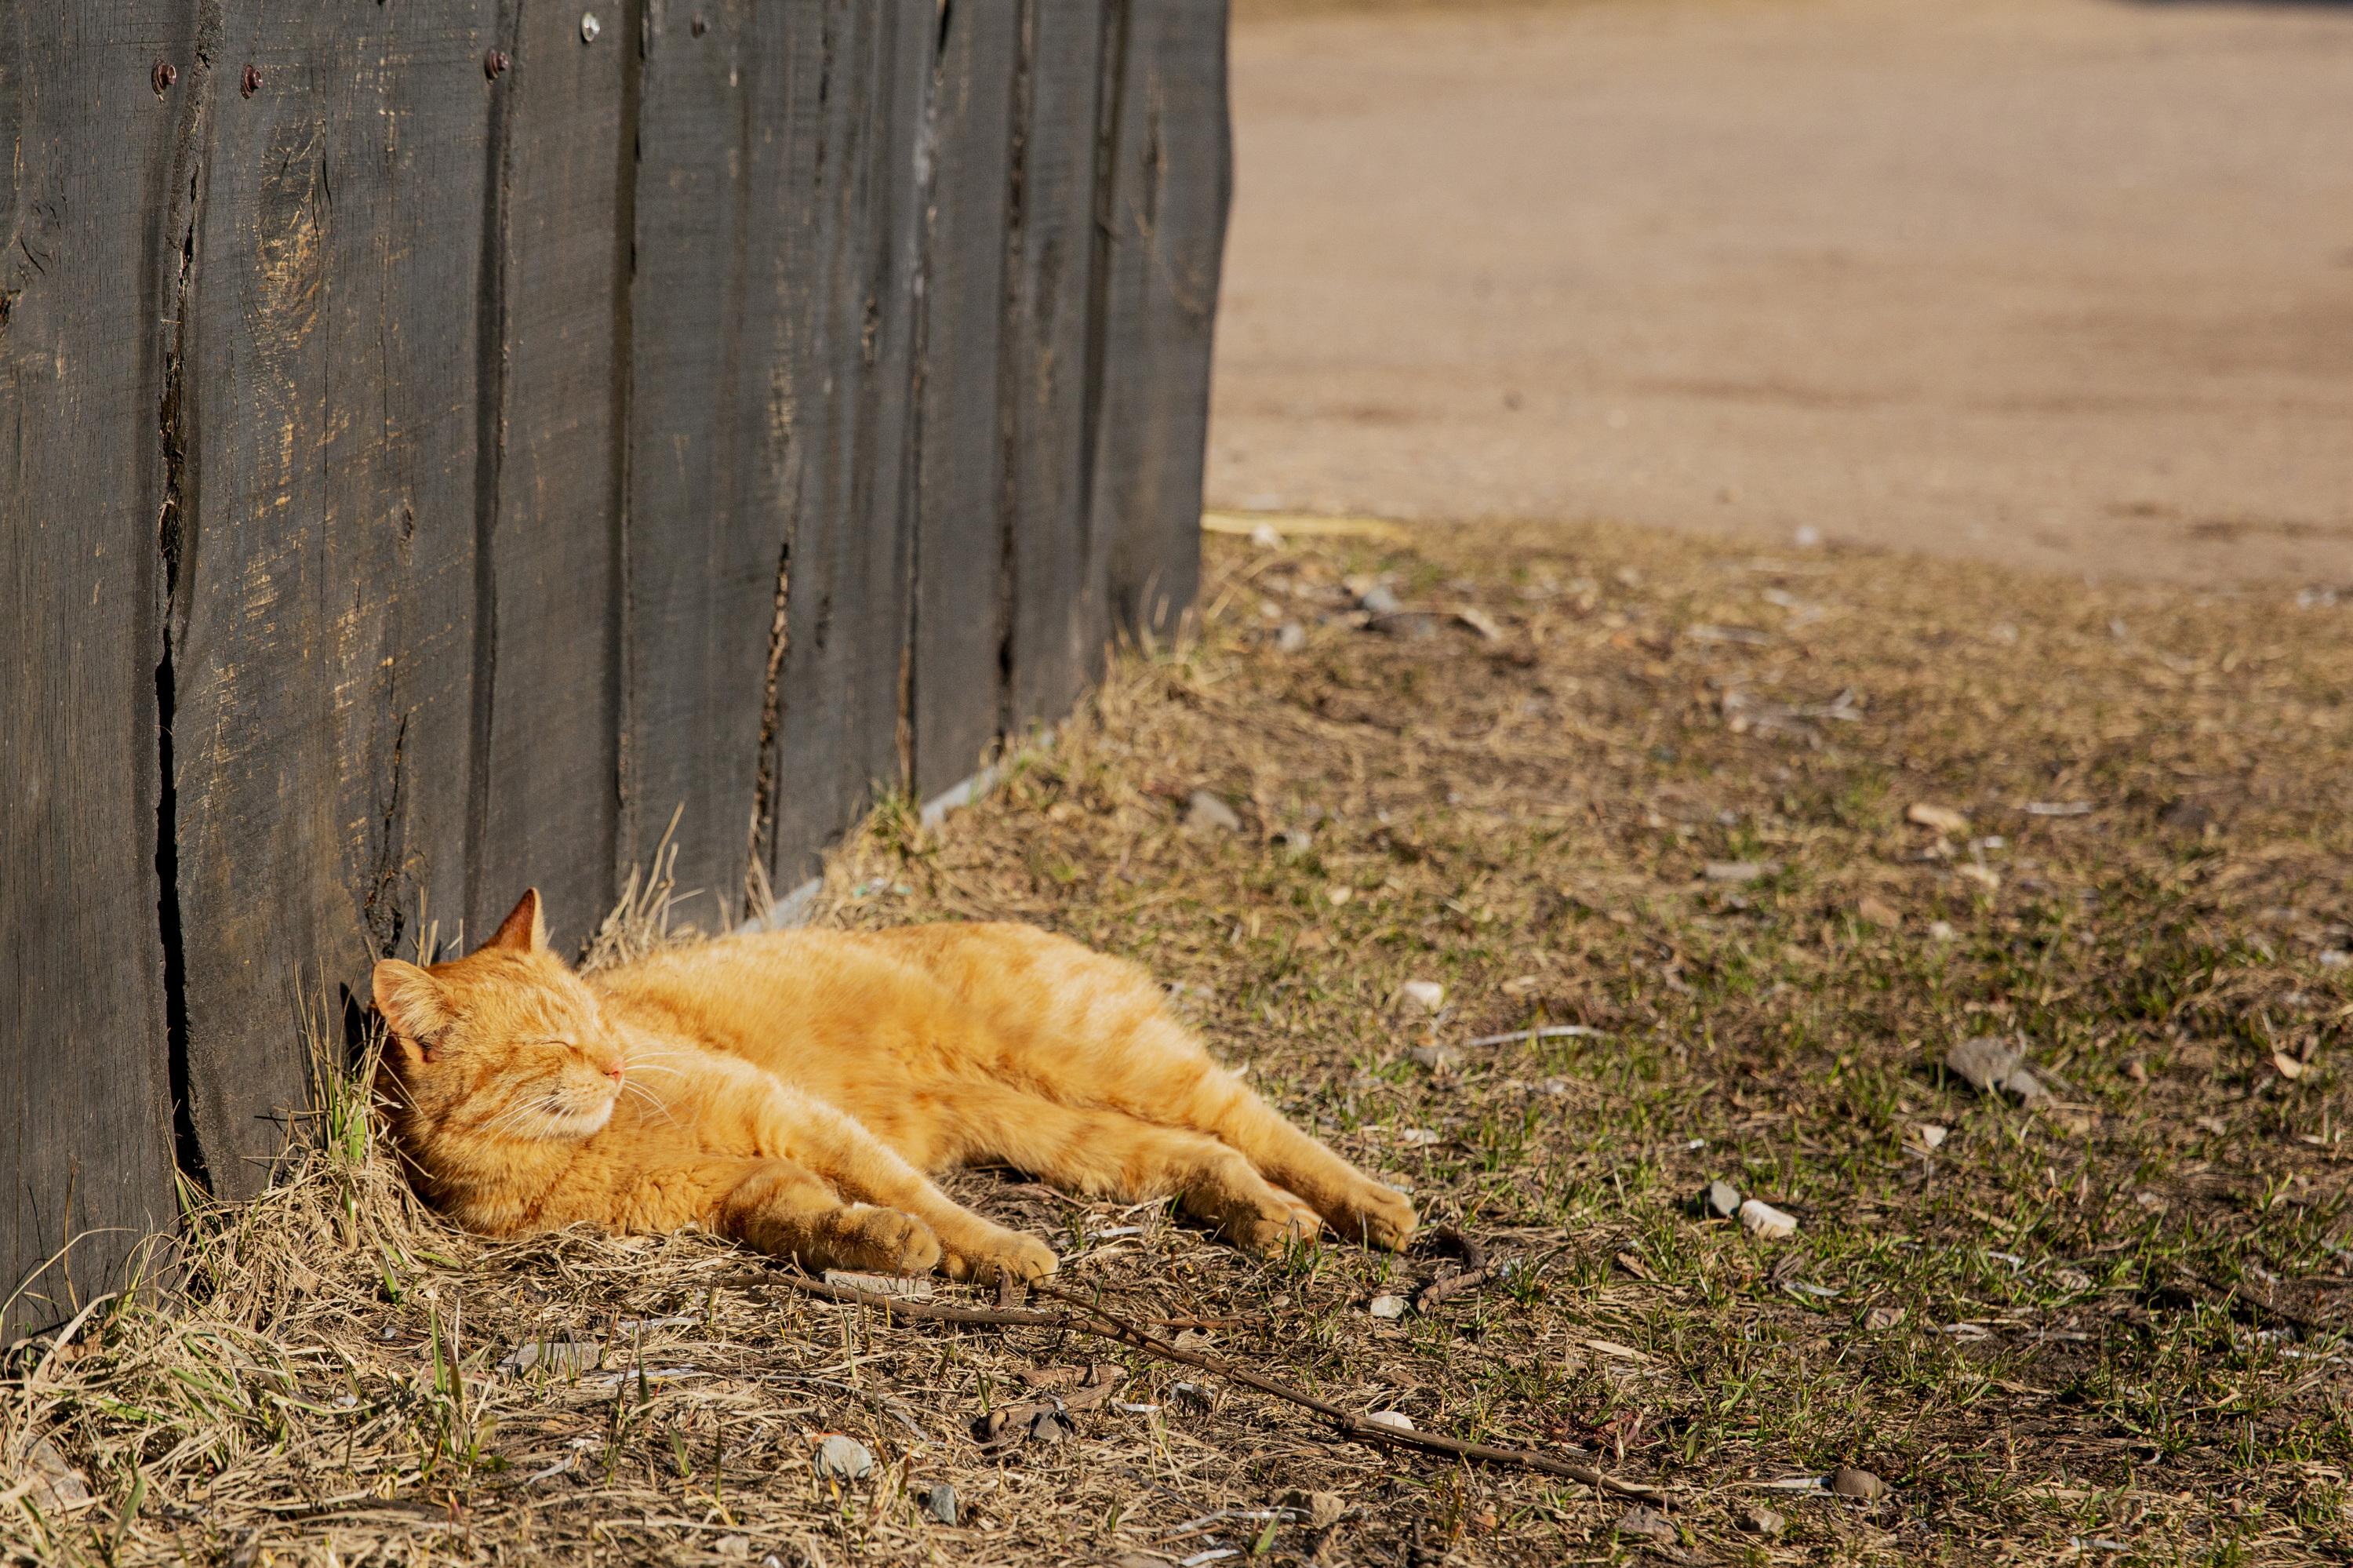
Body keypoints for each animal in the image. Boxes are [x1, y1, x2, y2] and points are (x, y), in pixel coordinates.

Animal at [367, 885, 1412, 1280]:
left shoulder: (794, 1116)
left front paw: (992, 1249)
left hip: (1109, 1056)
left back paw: (1370, 1204)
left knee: (1252, 1117)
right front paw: (889, 1246)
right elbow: (824, 1222)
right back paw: (1270, 1218)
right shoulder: (744, 1191)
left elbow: (922, 1198)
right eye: (556, 1043)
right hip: (1067, 1134)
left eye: (595, 1018)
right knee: (1202, 1152)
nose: (617, 1063)